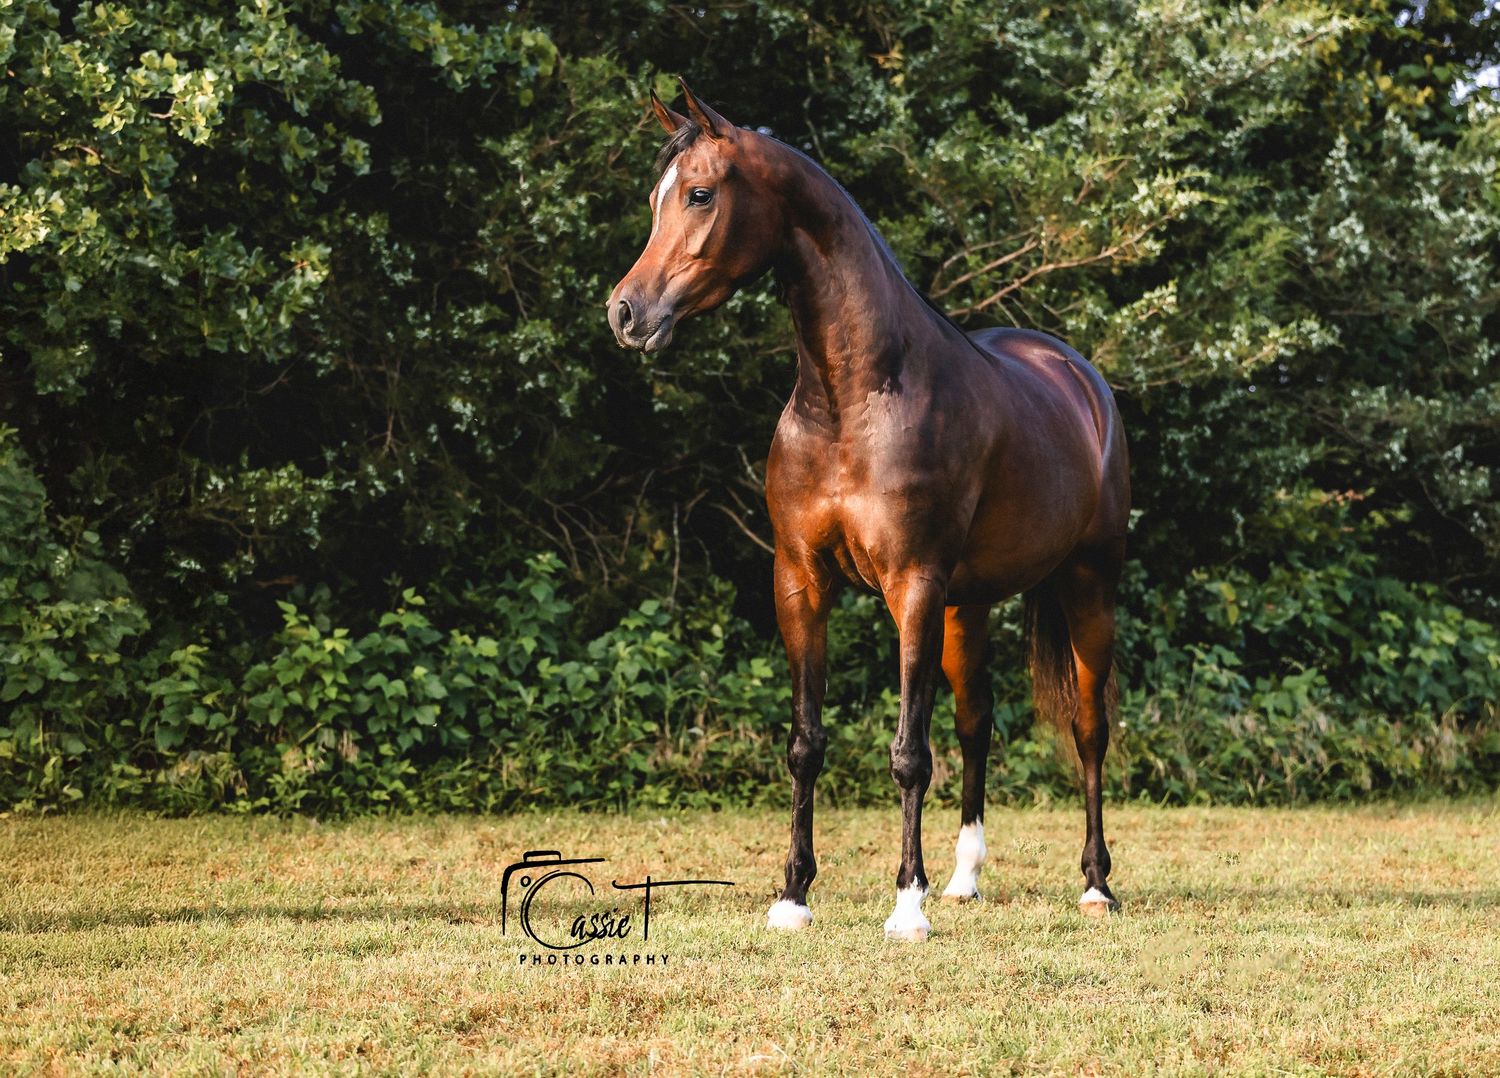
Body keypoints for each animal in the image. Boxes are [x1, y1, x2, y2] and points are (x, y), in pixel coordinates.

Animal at [607, 81, 1129, 941]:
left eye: (701, 194)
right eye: (656, 197)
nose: (626, 313)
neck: (855, 397)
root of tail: (1080, 378)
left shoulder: (911, 586)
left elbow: (909, 751)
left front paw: (906, 906)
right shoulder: (801, 583)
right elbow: (807, 743)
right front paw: (793, 896)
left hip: (1087, 586)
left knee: (1089, 731)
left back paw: (1095, 885)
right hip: (965, 608)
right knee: (976, 724)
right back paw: (965, 879)